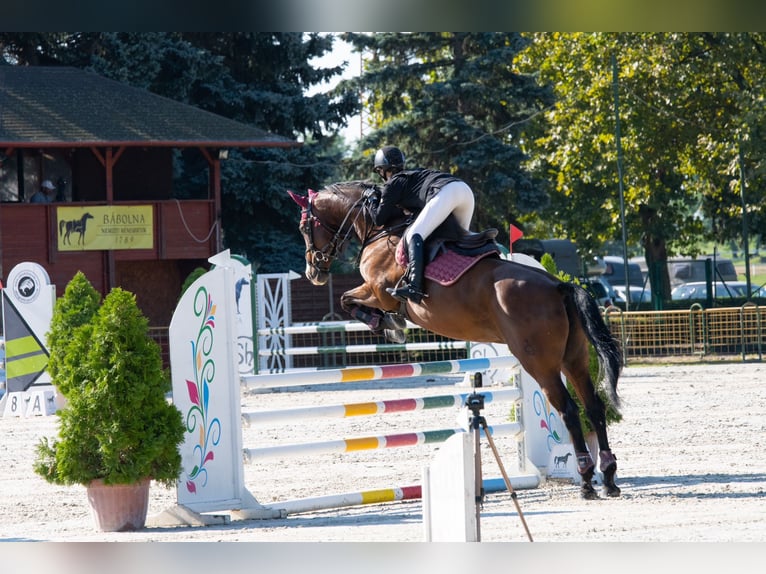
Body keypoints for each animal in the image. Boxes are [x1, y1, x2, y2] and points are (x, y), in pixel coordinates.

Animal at [288, 182, 624, 502]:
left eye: (305, 227)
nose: (313, 271)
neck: (380, 229)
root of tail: (558, 286)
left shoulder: (378, 290)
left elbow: (347, 299)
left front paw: (388, 324)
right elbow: (348, 300)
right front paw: (390, 325)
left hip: (538, 362)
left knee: (569, 409)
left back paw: (586, 480)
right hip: (573, 358)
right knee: (594, 406)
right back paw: (608, 477)